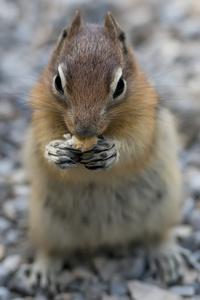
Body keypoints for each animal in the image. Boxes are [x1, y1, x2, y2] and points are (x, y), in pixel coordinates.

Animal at [22, 11, 187, 292]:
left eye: (120, 85)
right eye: (58, 82)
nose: (84, 129)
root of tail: (105, 239)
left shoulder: (144, 117)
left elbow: (137, 144)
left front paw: (111, 152)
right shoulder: (40, 115)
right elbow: (43, 140)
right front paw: (54, 152)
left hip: (165, 204)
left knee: (158, 234)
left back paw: (166, 256)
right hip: (45, 221)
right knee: (51, 249)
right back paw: (44, 270)